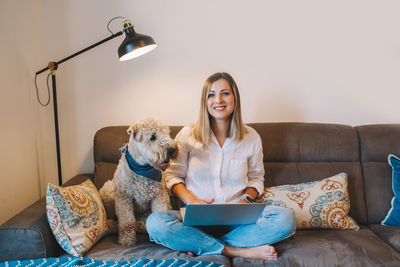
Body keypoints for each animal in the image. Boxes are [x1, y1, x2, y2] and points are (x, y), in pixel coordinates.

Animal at [99, 118, 177, 246]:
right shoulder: (124, 197)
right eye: (152, 137)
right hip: (108, 191)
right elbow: (127, 222)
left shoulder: (159, 196)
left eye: (167, 133)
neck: (142, 167)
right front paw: (127, 241)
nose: (171, 149)